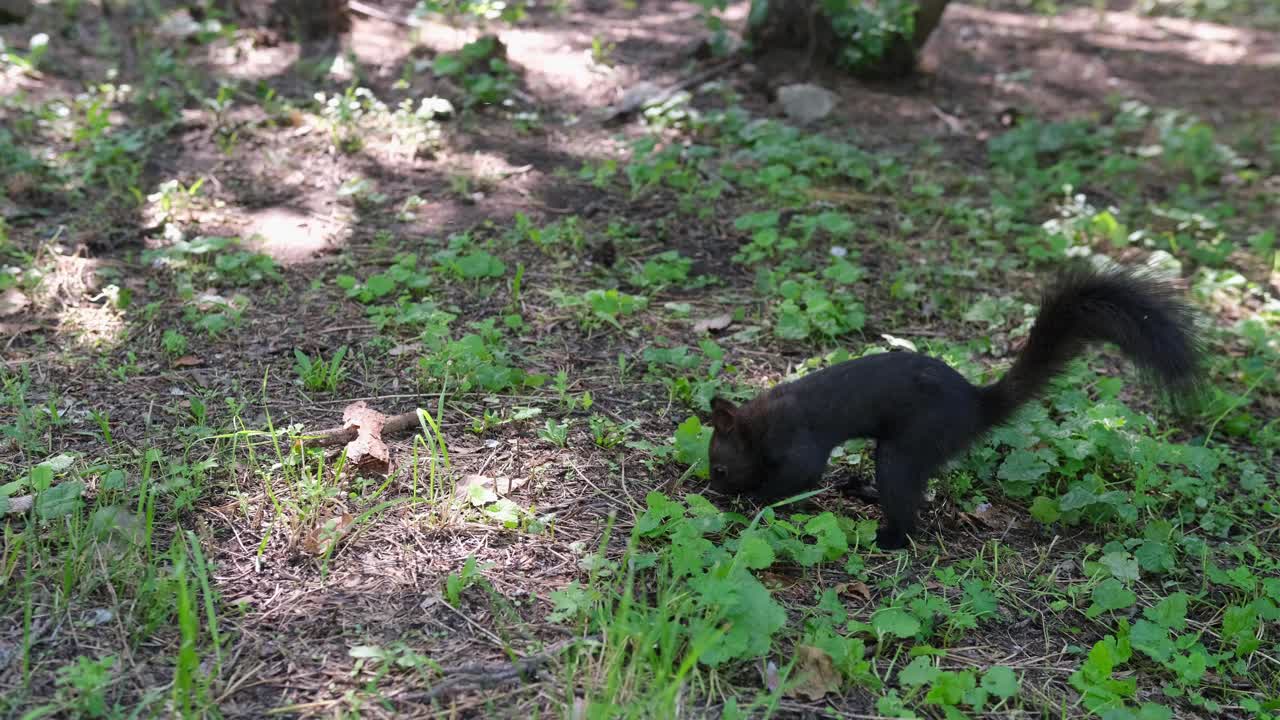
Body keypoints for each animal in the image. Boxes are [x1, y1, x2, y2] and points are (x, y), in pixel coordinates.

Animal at [711, 263, 1198, 548]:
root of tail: (977, 407)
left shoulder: (798, 442)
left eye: (720, 467)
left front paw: (755, 498)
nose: (714, 492)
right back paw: (862, 491)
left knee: (908, 505)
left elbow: (798, 476)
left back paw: (888, 537)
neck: (759, 424)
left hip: (909, 445)